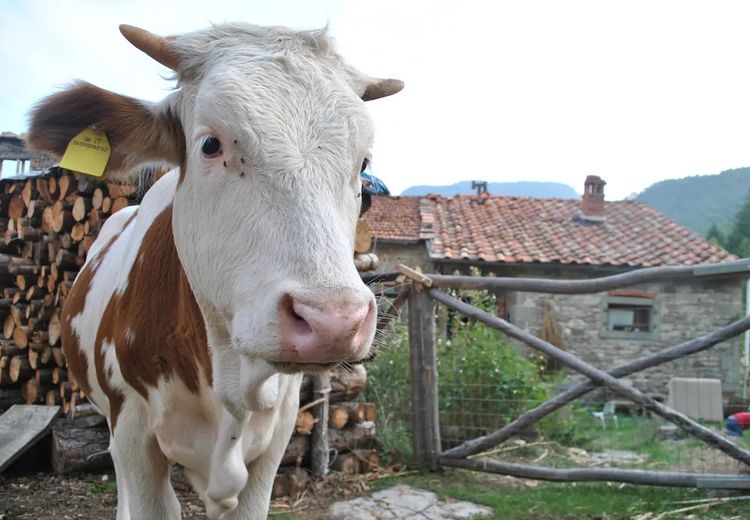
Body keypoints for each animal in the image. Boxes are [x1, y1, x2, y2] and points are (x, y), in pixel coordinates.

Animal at [27, 22, 406, 516]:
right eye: (210, 144)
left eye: (363, 163)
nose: (333, 321)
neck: (227, 377)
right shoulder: (131, 431)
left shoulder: (274, 444)